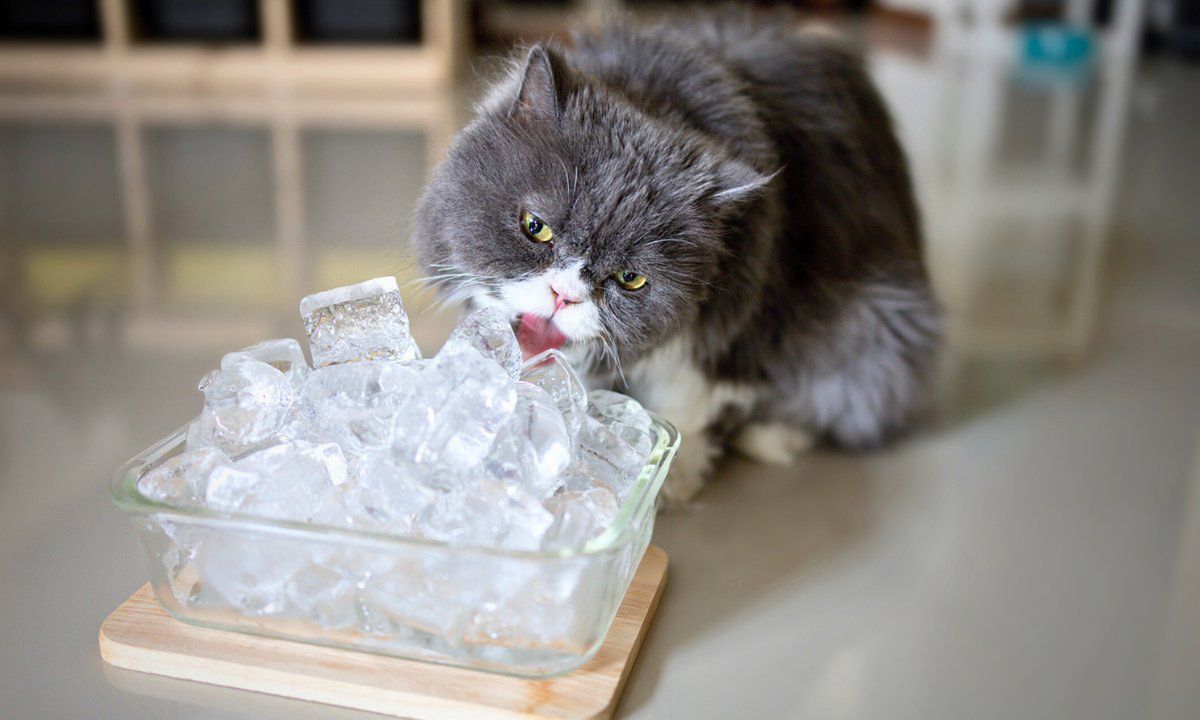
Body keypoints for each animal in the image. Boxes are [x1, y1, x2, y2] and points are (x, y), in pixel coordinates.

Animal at [412, 9, 936, 501]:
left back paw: (770, 437)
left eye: (630, 279)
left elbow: (681, 401)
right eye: (536, 227)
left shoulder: (732, 328)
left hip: (881, 331)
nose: (564, 294)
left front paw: (665, 483)